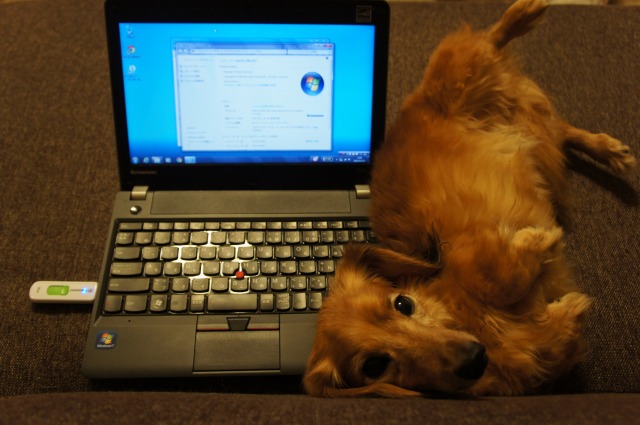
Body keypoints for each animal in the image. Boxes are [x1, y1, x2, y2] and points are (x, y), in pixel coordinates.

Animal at [303, 0, 636, 397]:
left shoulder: (468, 249)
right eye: (374, 366)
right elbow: (556, 337)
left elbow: (495, 274)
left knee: (492, 38)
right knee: (558, 130)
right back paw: (610, 150)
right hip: (528, 123)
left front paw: (538, 240)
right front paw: (565, 311)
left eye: (403, 303)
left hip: (462, 75)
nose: (474, 360)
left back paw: (528, 11)